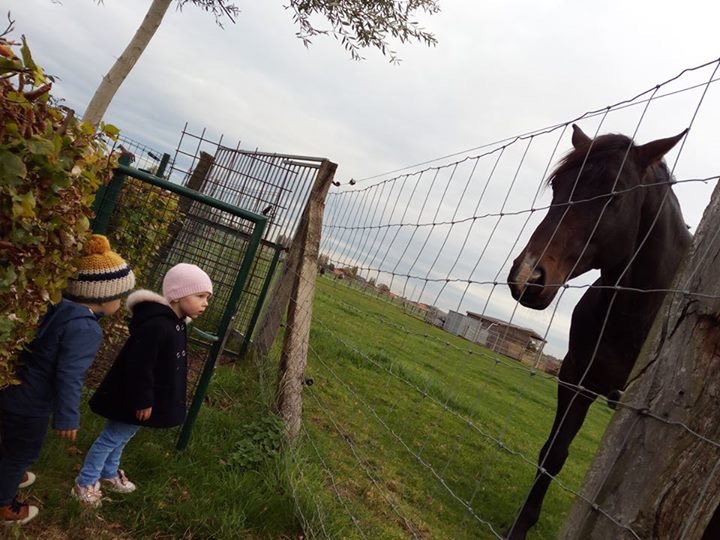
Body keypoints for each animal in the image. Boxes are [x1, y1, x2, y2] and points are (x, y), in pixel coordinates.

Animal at [505, 124, 691, 539]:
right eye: (557, 186)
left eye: (614, 195)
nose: (527, 277)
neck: (637, 311)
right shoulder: (577, 379)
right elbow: (553, 453)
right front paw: (520, 525)